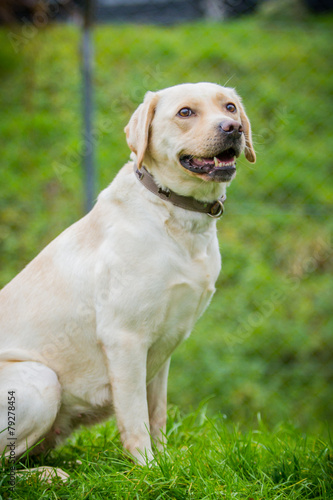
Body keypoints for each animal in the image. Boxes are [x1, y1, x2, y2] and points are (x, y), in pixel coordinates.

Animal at [0, 82, 254, 476]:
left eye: (229, 107)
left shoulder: (162, 350)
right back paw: (49, 476)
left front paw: (165, 463)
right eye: (185, 112)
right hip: (42, 381)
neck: (177, 216)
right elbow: (135, 417)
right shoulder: (125, 339)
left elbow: (156, 413)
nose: (233, 127)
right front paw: (148, 469)